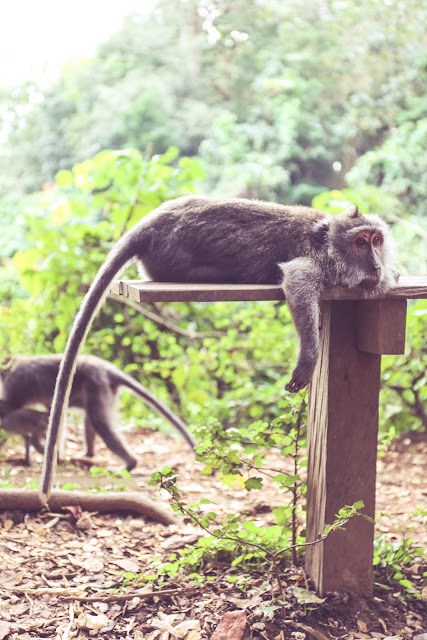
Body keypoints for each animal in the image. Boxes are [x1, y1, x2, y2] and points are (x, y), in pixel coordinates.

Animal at [0, 352, 196, 468]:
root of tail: (106, 368)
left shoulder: (14, 383)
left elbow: (10, 407)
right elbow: (54, 416)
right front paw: (55, 455)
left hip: (96, 383)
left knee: (99, 422)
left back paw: (130, 464)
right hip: (103, 387)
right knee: (90, 417)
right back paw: (88, 454)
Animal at [39, 196, 398, 500]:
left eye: (377, 241)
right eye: (360, 242)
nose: (376, 265)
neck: (326, 241)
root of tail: (152, 219)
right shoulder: (315, 263)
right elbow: (297, 280)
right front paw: (308, 359)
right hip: (169, 258)